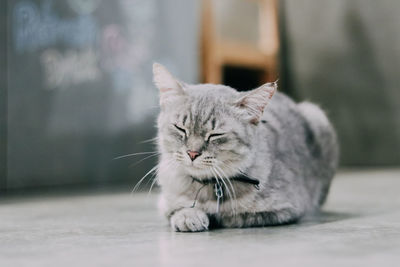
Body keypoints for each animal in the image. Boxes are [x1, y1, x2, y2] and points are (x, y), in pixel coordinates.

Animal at [152, 62, 338, 232]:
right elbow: (176, 208)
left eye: (215, 135)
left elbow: (235, 216)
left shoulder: (288, 208)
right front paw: (188, 216)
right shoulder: (165, 201)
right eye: (180, 128)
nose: (192, 153)